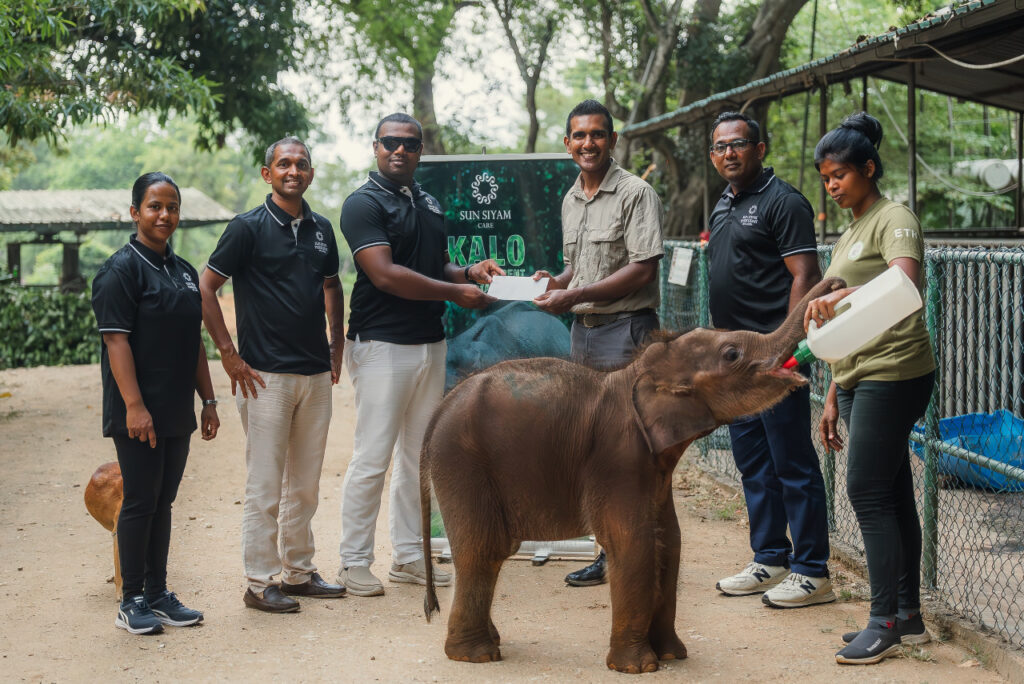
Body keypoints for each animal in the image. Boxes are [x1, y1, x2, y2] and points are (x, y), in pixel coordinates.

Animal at [419, 276, 843, 671]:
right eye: (732, 354)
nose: (836, 284)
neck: (638, 371)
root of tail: (439, 410)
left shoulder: (651, 467)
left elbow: (669, 540)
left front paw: (673, 655)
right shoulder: (617, 456)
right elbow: (634, 542)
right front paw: (640, 667)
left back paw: (486, 645)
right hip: (463, 464)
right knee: (482, 550)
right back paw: (476, 655)